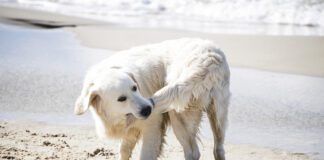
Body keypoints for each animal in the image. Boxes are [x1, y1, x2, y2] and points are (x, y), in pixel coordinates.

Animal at [74, 38, 230, 159]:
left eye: (134, 87)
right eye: (121, 98)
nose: (148, 109)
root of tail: (209, 60)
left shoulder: (152, 127)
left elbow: (145, 155)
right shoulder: (131, 130)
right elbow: (124, 150)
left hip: (178, 115)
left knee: (193, 152)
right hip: (218, 115)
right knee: (218, 149)